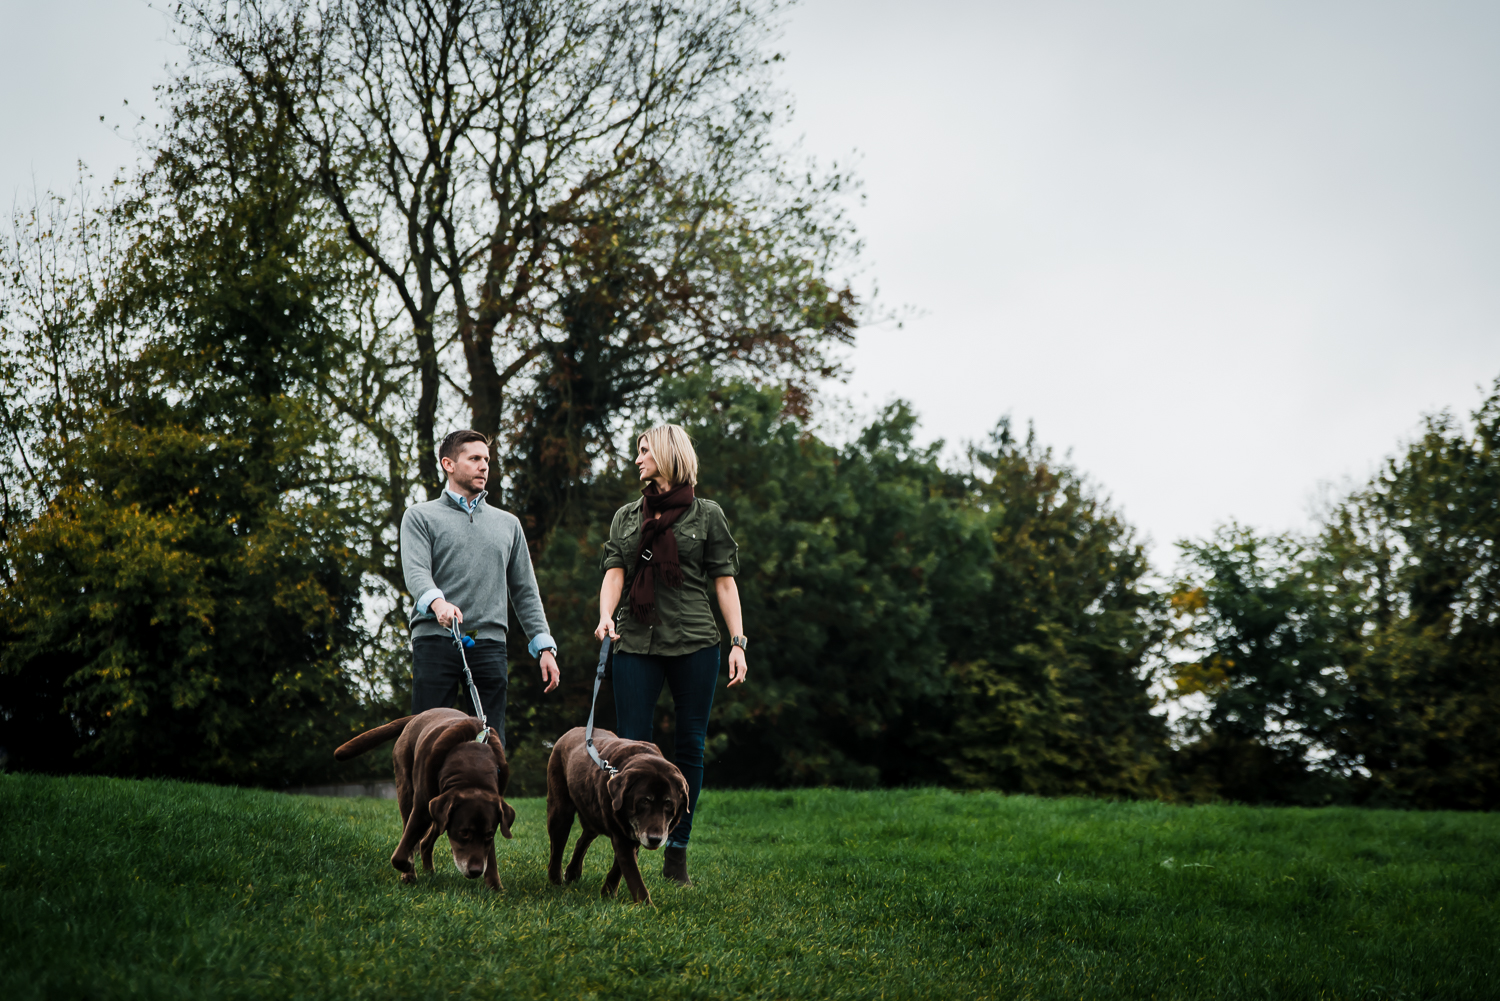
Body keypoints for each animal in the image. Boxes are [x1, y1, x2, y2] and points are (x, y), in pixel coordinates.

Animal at [333, 708, 516, 888]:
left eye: (489, 834)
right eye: (463, 833)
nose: (476, 872)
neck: (472, 766)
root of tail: (419, 715)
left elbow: (490, 855)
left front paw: (495, 887)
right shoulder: (421, 810)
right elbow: (400, 854)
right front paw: (407, 868)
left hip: (437, 812)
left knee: (425, 842)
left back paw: (429, 872)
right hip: (407, 792)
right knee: (411, 833)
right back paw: (411, 872)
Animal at [546, 729, 690, 906]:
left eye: (668, 804)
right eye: (644, 801)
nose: (655, 839)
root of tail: (572, 731)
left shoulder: (633, 835)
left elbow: (619, 867)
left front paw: (608, 893)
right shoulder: (623, 836)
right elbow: (632, 874)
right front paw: (647, 906)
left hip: (592, 814)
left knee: (583, 839)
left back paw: (573, 873)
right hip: (560, 812)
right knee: (557, 848)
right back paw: (556, 881)